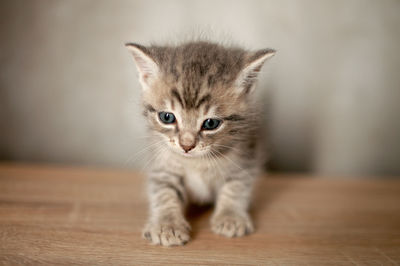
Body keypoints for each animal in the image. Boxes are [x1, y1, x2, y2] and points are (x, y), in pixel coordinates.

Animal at [126, 39, 276, 245]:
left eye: (211, 123)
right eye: (167, 117)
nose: (187, 145)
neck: (196, 162)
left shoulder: (245, 155)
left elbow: (236, 186)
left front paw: (230, 217)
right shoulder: (162, 163)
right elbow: (164, 192)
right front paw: (167, 224)